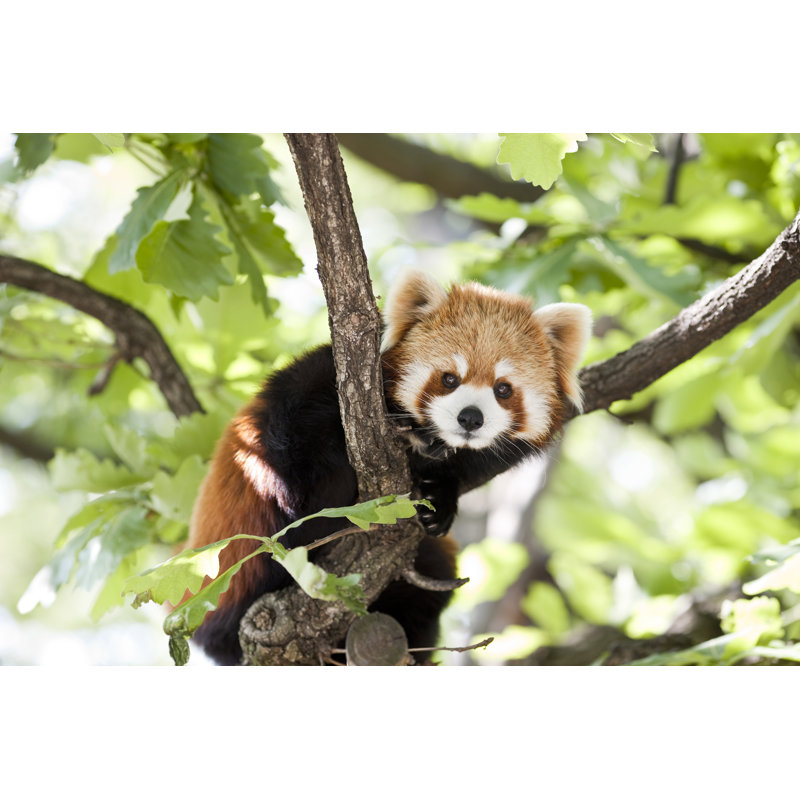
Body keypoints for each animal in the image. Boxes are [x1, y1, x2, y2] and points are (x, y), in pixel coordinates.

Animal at [185, 270, 592, 664]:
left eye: (503, 389)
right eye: (449, 379)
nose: (470, 417)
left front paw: (439, 500)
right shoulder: (304, 400)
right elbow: (299, 455)